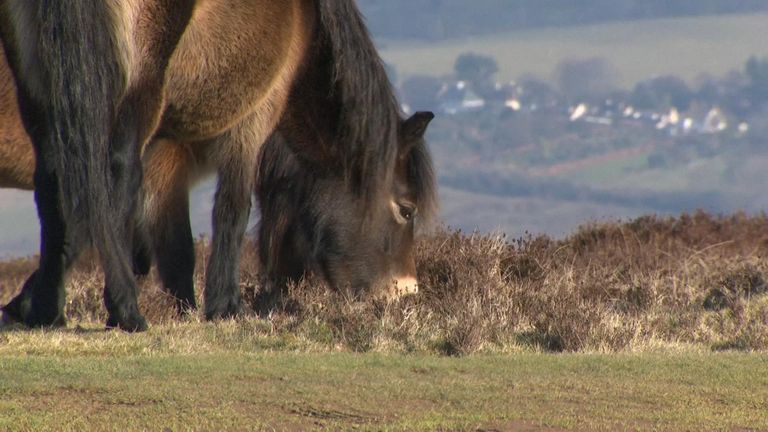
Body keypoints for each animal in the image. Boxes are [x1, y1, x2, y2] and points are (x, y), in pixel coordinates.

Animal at [0, 0, 438, 330]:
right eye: (406, 209)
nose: (405, 293)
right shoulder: (252, 116)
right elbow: (229, 212)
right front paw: (224, 306)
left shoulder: (168, 145)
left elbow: (169, 242)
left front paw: (27, 303)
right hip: (137, 84)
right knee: (110, 175)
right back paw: (126, 310)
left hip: (39, 85)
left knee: (58, 179)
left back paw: (51, 309)